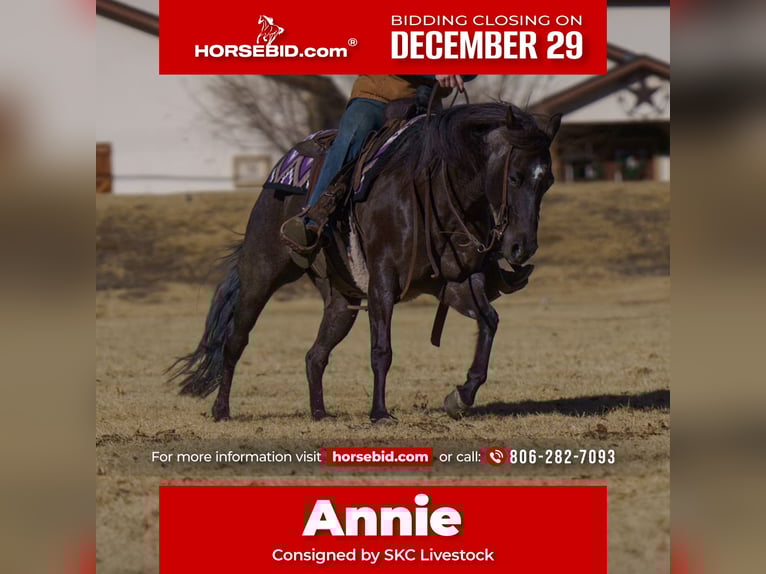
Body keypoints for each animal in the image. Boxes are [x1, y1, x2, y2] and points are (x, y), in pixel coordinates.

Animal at [168, 102, 561, 424]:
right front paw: (380, 413)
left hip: (341, 301)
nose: (521, 248)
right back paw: (221, 410)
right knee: (235, 340)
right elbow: (381, 349)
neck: (436, 191)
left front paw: (460, 396)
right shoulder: (383, 281)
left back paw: (319, 412)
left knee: (315, 355)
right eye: (515, 177)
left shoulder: (457, 283)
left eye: (547, 181)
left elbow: (489, 322)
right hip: (261, 274)